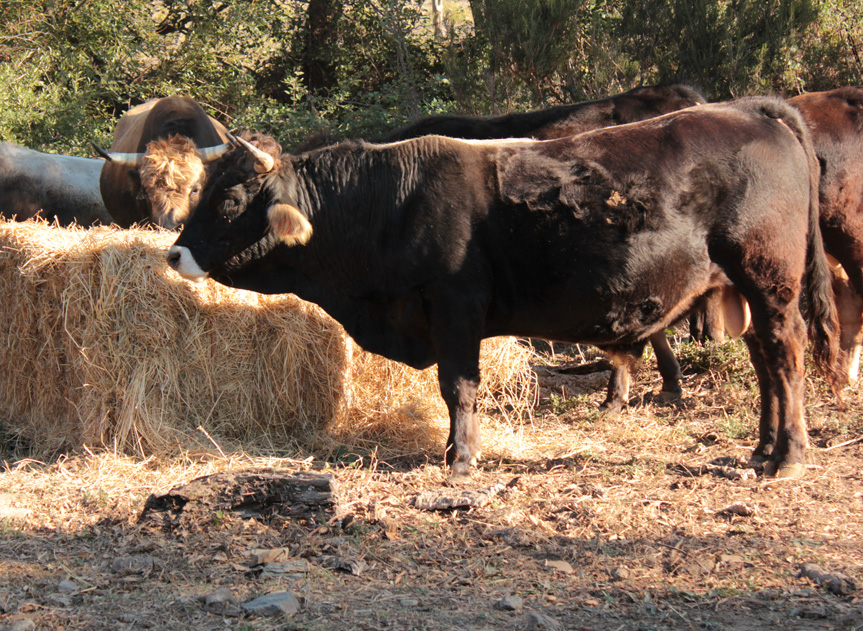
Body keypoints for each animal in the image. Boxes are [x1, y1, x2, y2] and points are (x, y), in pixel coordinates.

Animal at [167, 99, 844, 482]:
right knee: (764, 361)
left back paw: (788, 458)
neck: (387, 201)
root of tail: (752, 111)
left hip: (771, 280)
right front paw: (452, 451)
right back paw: (761, 450)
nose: (174, 253)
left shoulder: (454, 310)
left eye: (227, 200)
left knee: (785, 356)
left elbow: (458, 387)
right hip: (745, 288)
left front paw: (461, 459)